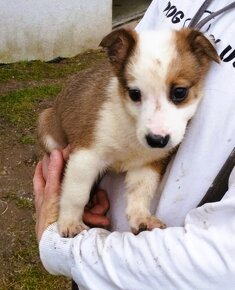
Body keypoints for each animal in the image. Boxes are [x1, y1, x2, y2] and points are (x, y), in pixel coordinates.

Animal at [37, 27, 219, 237]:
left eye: (180, 92)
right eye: (134, 94)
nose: (156, 140)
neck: (131, 128)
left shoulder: (148, 162)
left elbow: (140, 191)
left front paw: (141, 217)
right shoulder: (86, 156)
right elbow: (76, 194)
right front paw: (70, 222)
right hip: (46, 123)